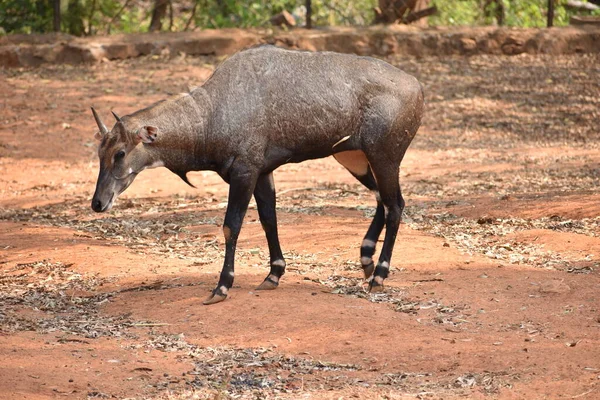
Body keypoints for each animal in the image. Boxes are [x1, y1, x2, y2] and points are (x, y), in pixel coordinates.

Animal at [91, 45, 424, 304]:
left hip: (384, 157)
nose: (97, 203)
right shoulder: (263, 173)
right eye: (99, 152)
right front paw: (274, 273)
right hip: (352, 158)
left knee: (395, 205)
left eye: (120, 153)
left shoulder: (245, 171)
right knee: (383, 199)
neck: (211, 113)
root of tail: (417, 86)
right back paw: (366, 258)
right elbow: (268, 220)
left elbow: (231, 226)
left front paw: (221, 287)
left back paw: (379, 274)